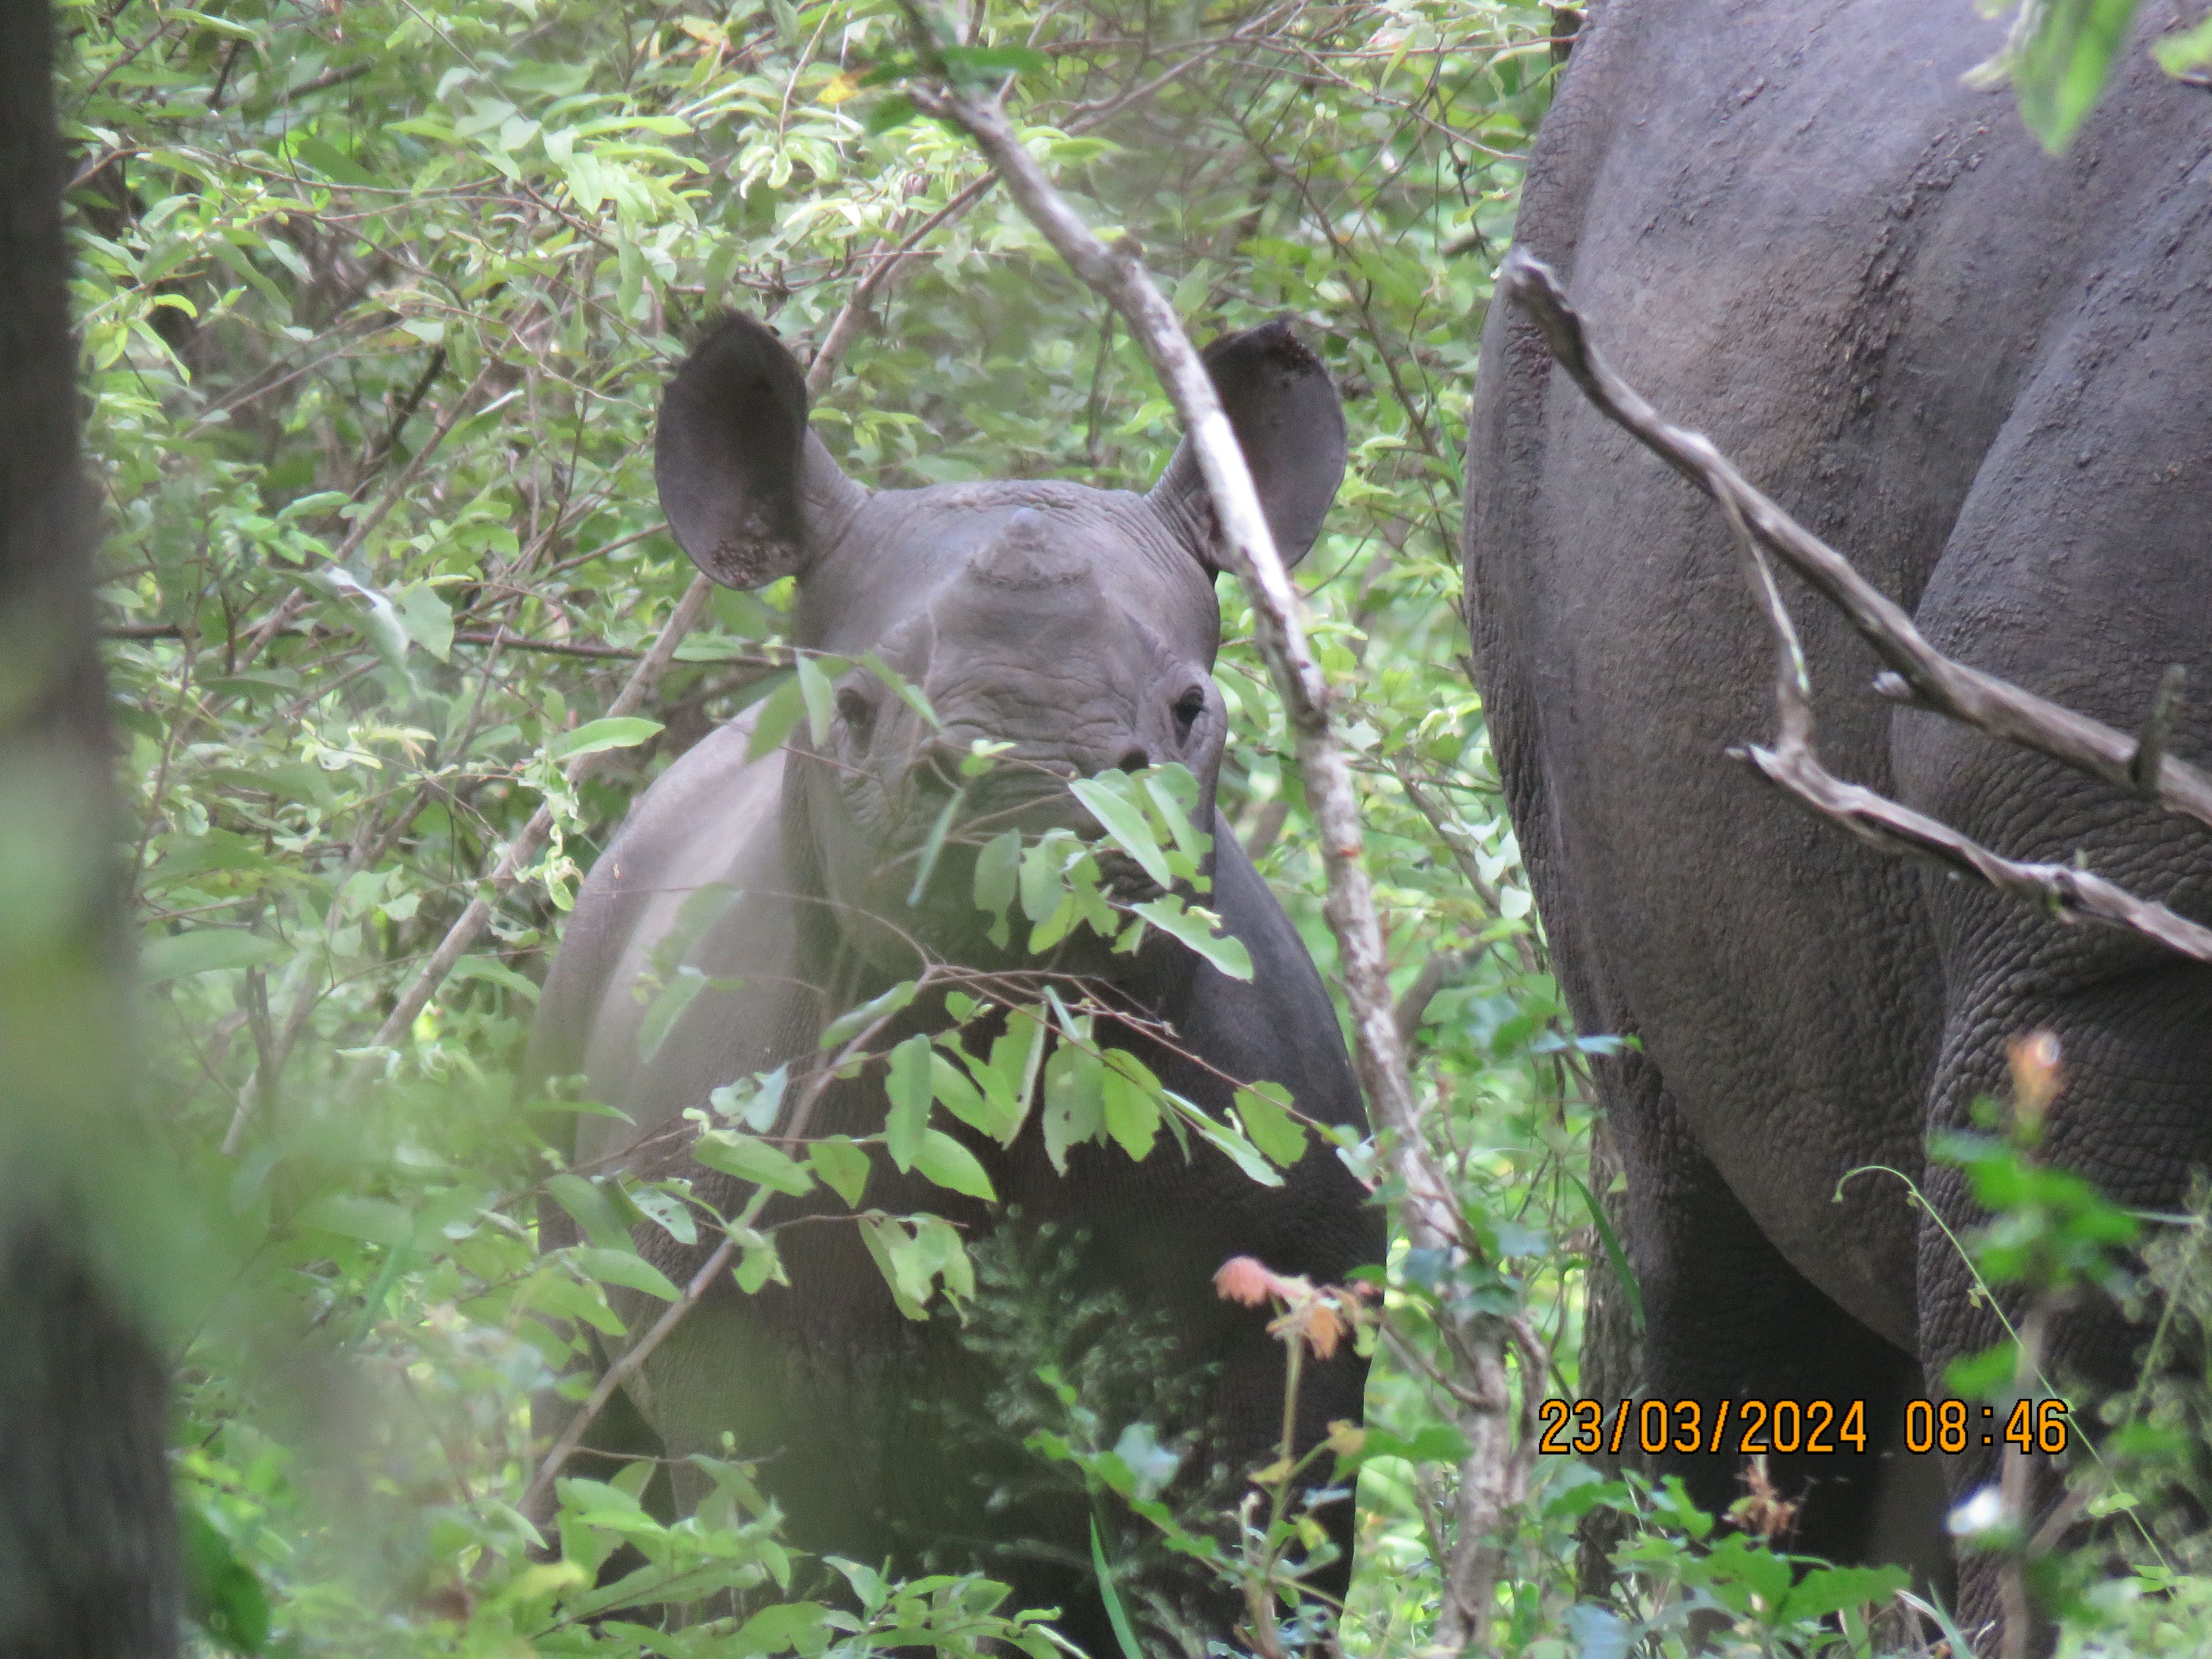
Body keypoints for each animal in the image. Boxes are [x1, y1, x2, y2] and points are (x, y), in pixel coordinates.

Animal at [528, 312, 1383, 1650]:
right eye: (857, 710)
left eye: (1192, 710)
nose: (1031, 785)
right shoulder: (746, 1327)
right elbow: (793, 1583)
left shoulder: (1288, 1323)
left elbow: (1246, 1576)